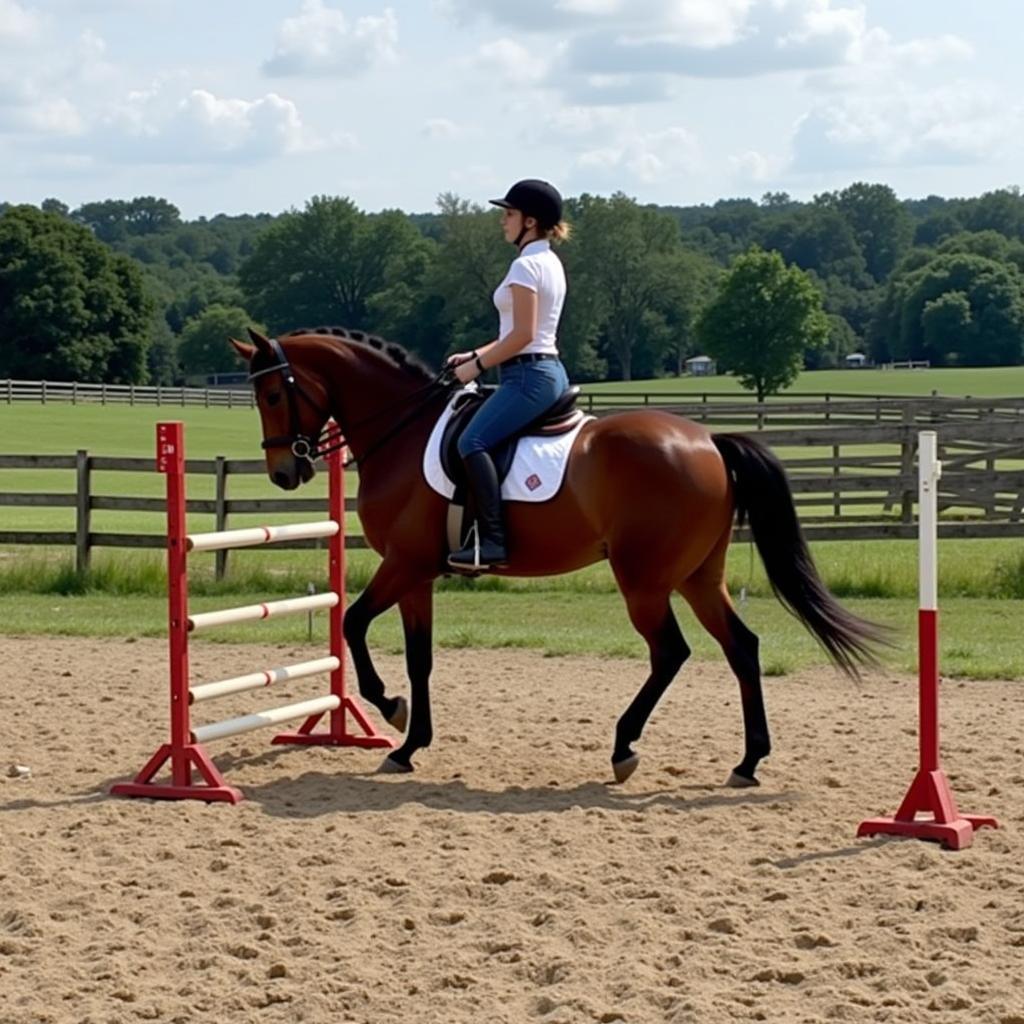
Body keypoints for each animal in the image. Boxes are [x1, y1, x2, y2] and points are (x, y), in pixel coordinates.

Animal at [230, 325, 880, 782]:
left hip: (644, 581)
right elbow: (420, 658)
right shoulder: (419, 576)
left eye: (272, 393)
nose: (285, 472)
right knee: (742, 647)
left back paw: (624, 747)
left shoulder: (404, 564)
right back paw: (748, 761)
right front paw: (410, 745)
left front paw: (391, 709)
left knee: (670, 652)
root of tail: (710, 443)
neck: (404, 430)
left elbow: (354, 623)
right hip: (698, 576)